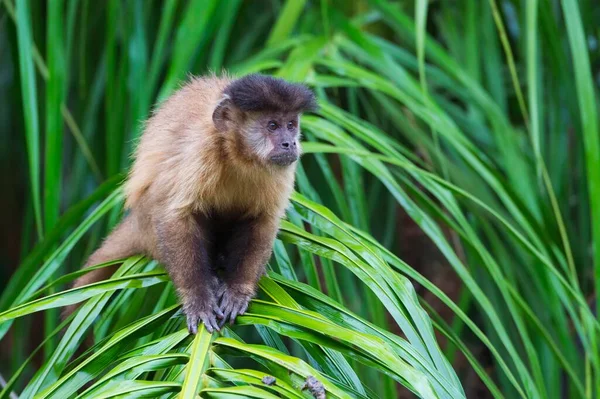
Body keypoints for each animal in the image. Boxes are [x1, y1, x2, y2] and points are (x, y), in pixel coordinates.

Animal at [64, 74, 318, 334]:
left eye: (291, 125)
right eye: (273, 125)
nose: (289, 143)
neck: (239, 156)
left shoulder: (282, 168)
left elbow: (262, 220)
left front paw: (238, 289)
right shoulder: (202, 149)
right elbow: (175, 216)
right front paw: (198, 300)